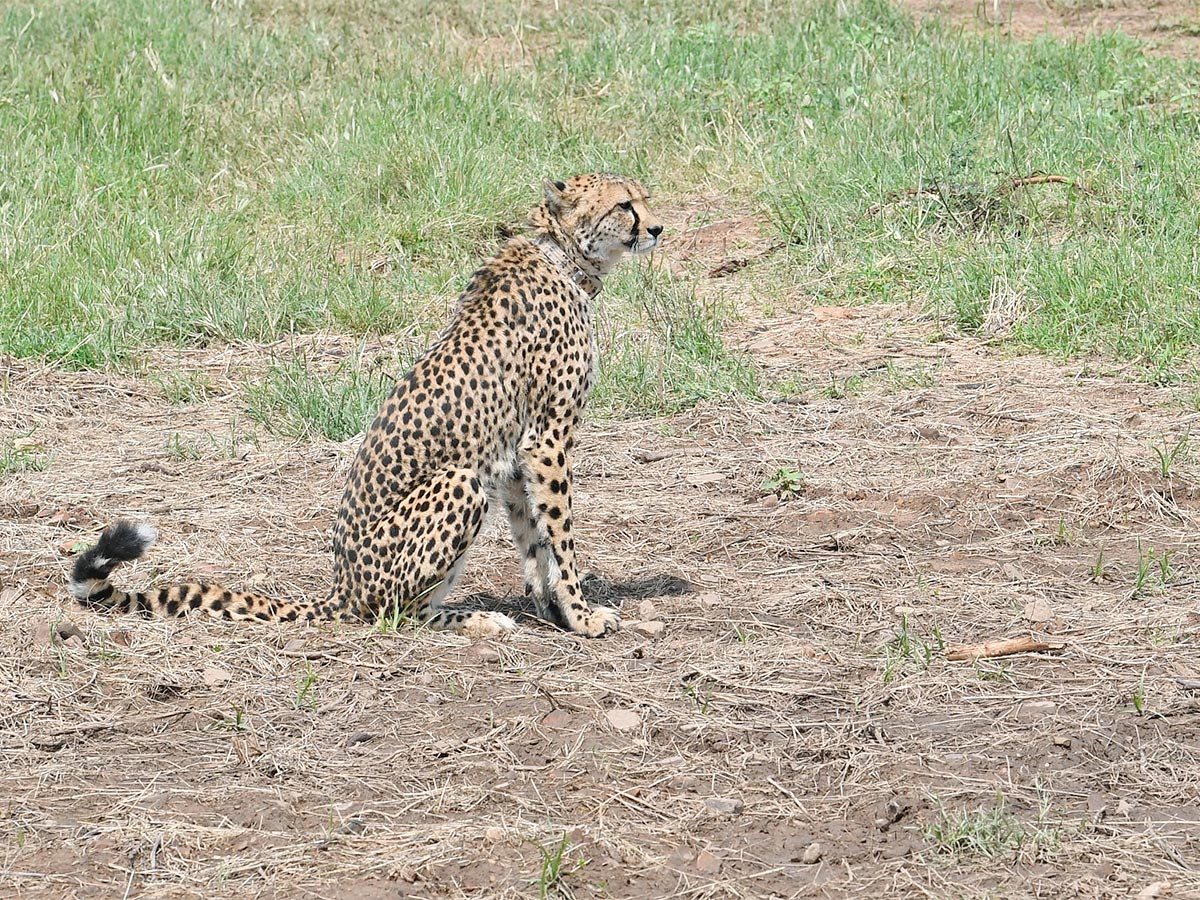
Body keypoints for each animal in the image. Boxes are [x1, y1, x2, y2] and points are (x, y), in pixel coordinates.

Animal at [69, 174, 667, 643]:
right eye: (625, 205)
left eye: (645, 198)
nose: (658, 229)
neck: (562, 256)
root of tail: (341, 586)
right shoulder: (546, 438)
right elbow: (560, 536)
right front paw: (582, 616)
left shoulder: (516, 455)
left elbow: (533, 537)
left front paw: (550, 608)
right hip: (458, 483)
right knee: (393, 613)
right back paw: (475, 620)